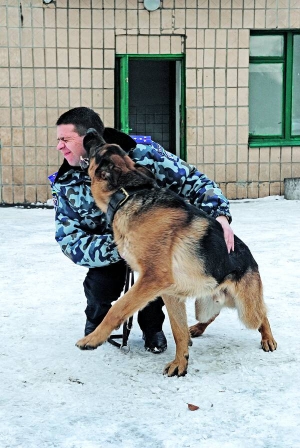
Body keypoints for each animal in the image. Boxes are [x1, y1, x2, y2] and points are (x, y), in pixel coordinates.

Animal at [76, 129, 278, 374]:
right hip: (206, 305)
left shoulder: (152, 278)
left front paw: (93, 339)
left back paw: (268, 338)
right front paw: (181, 363)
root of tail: (251, 259)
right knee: (214, 314)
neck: (126, 195)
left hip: (246, 310)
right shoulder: (169, 293)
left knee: (262, 314)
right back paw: (197, 329)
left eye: (99, 148)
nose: (90, 131)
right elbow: (177, 329)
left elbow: (118, 308)